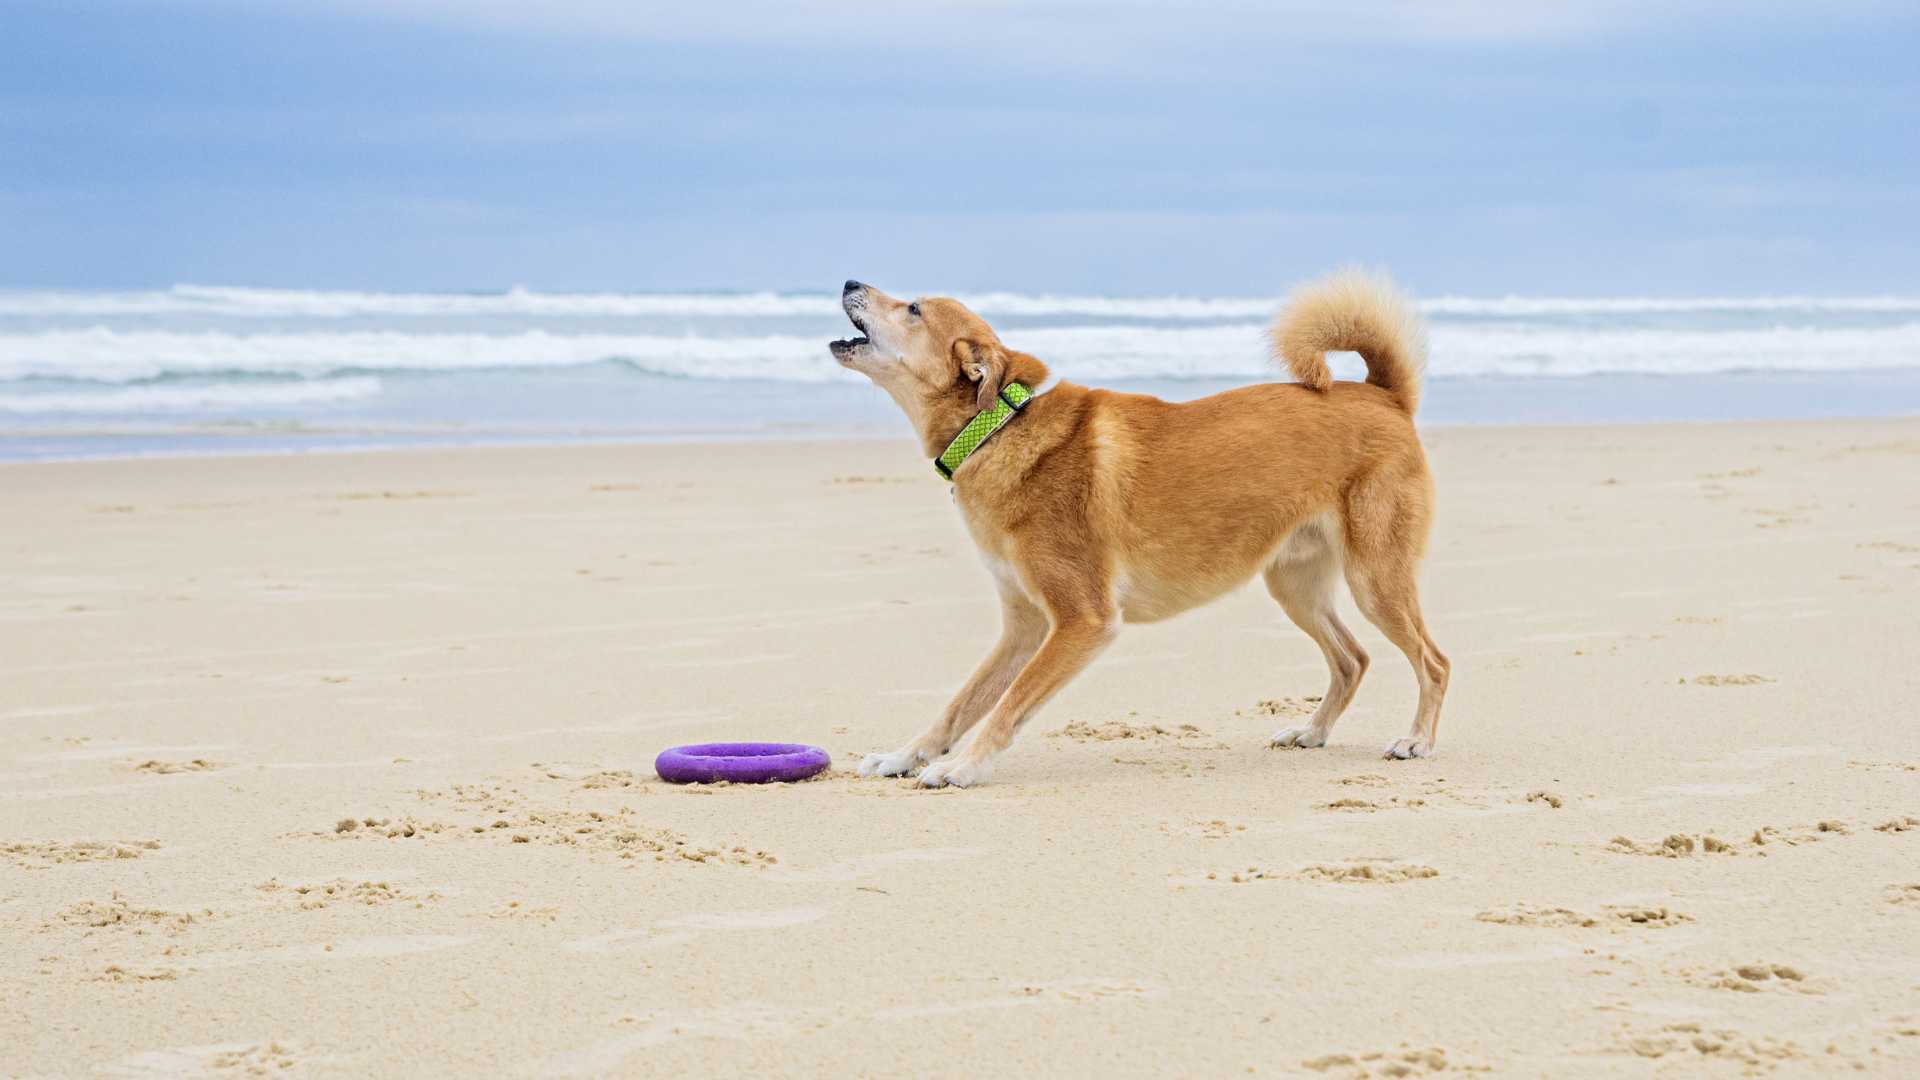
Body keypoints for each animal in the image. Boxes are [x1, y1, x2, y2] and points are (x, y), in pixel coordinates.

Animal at [833, 272, 1443, 787]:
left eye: (912, 309)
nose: (849, 282)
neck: (996, 427)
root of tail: (1383, 394)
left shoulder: (1082, 621)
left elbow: (1007, 707)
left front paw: (964, 766)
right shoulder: (1024, 628)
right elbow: (961, 703)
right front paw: (904, 756)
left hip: (1375, 581)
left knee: (1433, 662)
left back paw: (1416, 741)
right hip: (1295, 587)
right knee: (1352, 659)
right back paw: (1311, 732)